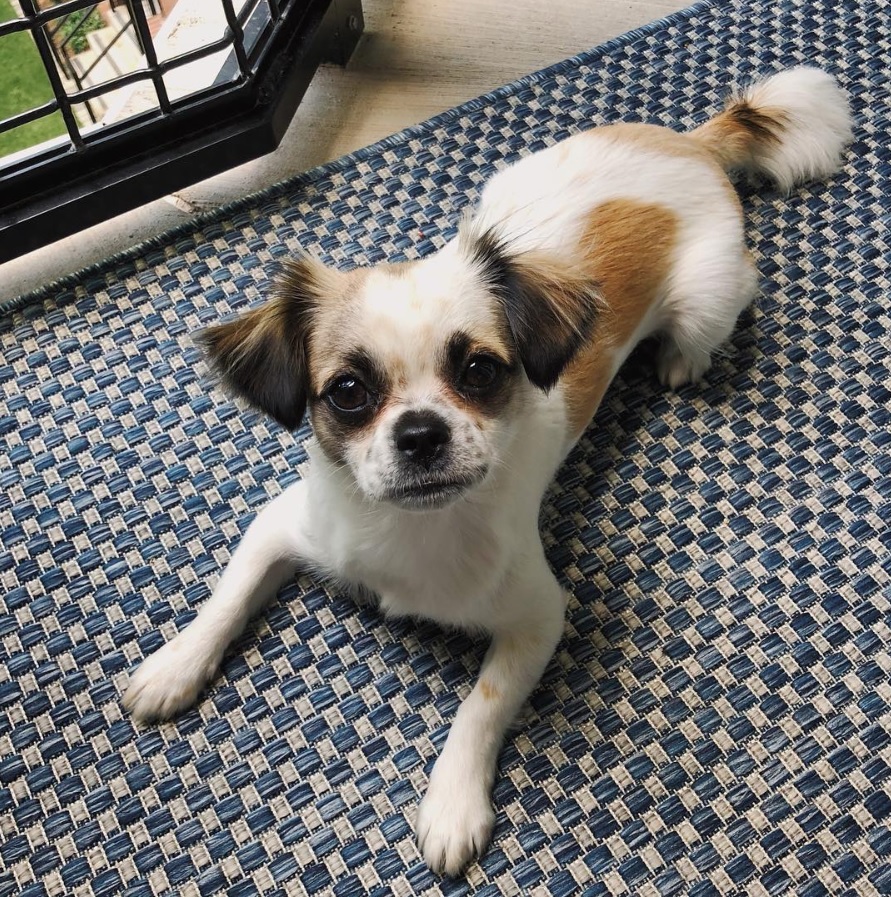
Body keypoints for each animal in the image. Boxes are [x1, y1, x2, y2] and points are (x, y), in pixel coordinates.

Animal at [123, 70, 852, 876]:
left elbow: (483, 702)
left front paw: (451, 803)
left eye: (477, 370)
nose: (420, 432)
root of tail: (687, 143)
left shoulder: (539, 614)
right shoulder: (285, 523)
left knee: (710, 318)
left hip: (706, 299)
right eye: (347, 392)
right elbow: (227, 596)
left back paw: (679, 362)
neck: (411, 532)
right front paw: (174, 666)